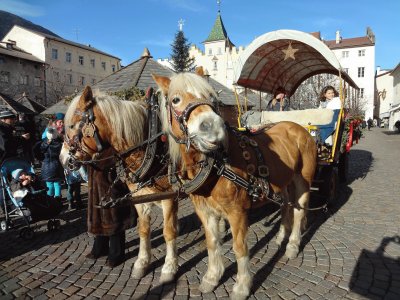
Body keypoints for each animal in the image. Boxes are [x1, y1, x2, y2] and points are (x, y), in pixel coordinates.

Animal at [59, 86, 178, 284]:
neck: (150, 143)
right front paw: (141, 263)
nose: (62, 159)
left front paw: (169, 267)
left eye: (72, 125)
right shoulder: (139, 197)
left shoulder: (169, 196)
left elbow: (169, 232)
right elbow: (143, 230)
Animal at [154, 72, 318, 298]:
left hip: (303, 180)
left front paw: (242, 285)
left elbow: (240, 247)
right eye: (175, 99)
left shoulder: (236, 212)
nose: (213, 127)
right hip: (285, 181)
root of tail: (299, 128)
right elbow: (212, 242)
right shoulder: (205, 211)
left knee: (299, 211)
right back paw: (280, 237)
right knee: (286, 205)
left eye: (212, 98)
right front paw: (212, 277)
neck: (217, 164)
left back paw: (293, 245)